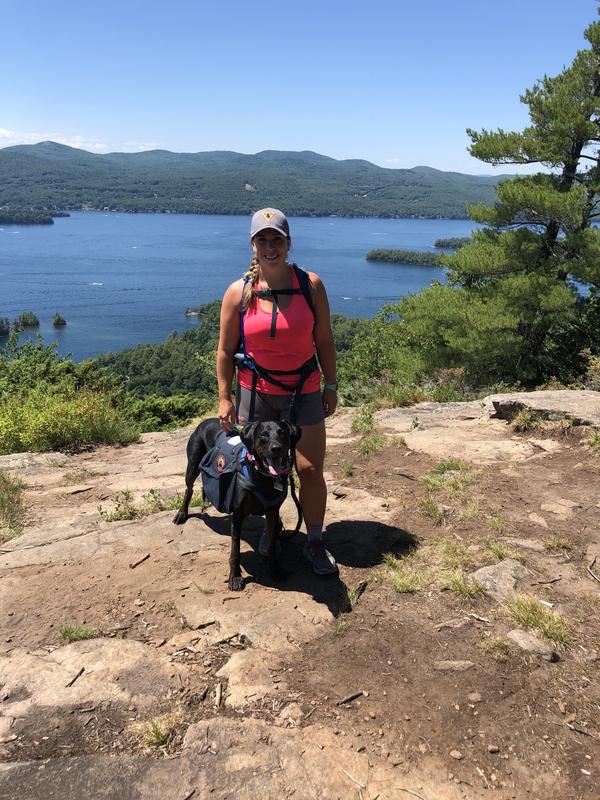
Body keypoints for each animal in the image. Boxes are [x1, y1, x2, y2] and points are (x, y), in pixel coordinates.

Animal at [172, 416, 298, 592]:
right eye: (263, 435)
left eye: (283, 433)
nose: (276, 448)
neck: (262, 477)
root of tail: (206, 421)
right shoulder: (237, 516)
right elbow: (235, 551)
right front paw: (235, 578)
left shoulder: (273, 511)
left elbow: (272, 545)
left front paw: (275, 569)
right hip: (192, 465)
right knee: (188, 489)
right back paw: (182, 513)